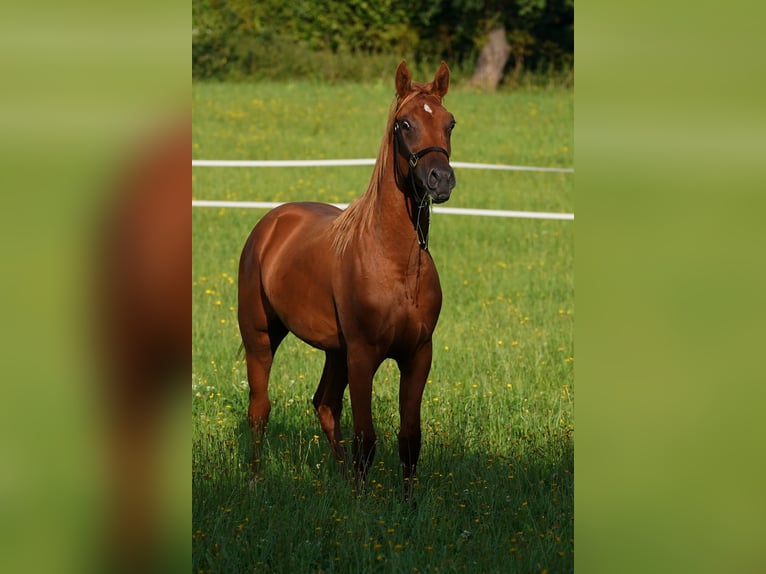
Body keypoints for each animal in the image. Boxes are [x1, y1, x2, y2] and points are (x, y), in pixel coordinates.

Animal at [238, 60, 456, 498]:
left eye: (450, 123)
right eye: (404, 123)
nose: (440, 179)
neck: (395, 264)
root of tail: (271, 223)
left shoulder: (418, 355)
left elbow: (410, 440)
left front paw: (406, 506)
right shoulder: (363, 356)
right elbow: (366, 440)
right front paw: (361, 505)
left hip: (333, 351)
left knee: (324, 404)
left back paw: (339, 480)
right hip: (261, 337)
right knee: (260, 409)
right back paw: (254, 480)